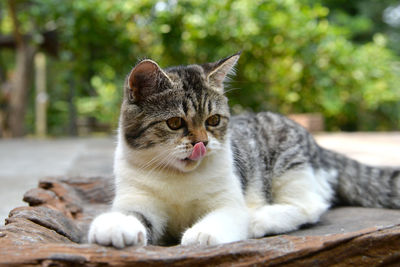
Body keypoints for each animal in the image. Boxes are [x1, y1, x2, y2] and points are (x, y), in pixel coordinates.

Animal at [87, 52, 400, 249]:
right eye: (175, 123)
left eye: (213, 121)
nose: (202, 143)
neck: (178, 178)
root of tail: (319, 146)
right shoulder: (138, 197)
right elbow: (133, 214)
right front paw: (115, 226)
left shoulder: (229, 200)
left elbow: (225, 216)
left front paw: (202, 233)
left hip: (290, 166)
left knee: (311, 204)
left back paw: (261, 219)